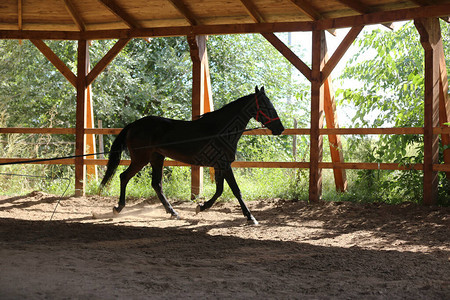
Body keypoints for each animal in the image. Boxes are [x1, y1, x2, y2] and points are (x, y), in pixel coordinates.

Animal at [101, 85, 284, 224]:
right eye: (267, 106)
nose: (280, 129)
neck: (221, 130)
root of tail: (133, 125)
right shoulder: (224, 165)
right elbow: (235, 190)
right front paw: (251, 217)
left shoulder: (220, 166)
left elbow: (219, 190)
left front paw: (200, 207)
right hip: (141, 159)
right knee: (124, 177)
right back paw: (118, 208)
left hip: (156, 158)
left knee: (156, 184)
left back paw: (173, 212)